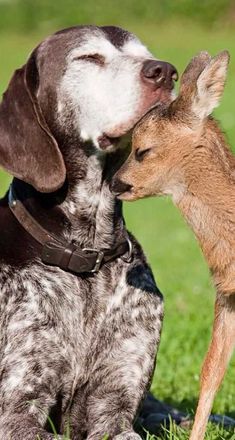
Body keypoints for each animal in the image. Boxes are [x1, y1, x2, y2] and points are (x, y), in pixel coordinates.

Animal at [0, 26, 177, 440]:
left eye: (145, 53)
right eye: (88, 58)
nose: (164, 71)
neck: (85, 256)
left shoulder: (114, 407)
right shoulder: (15, 412)